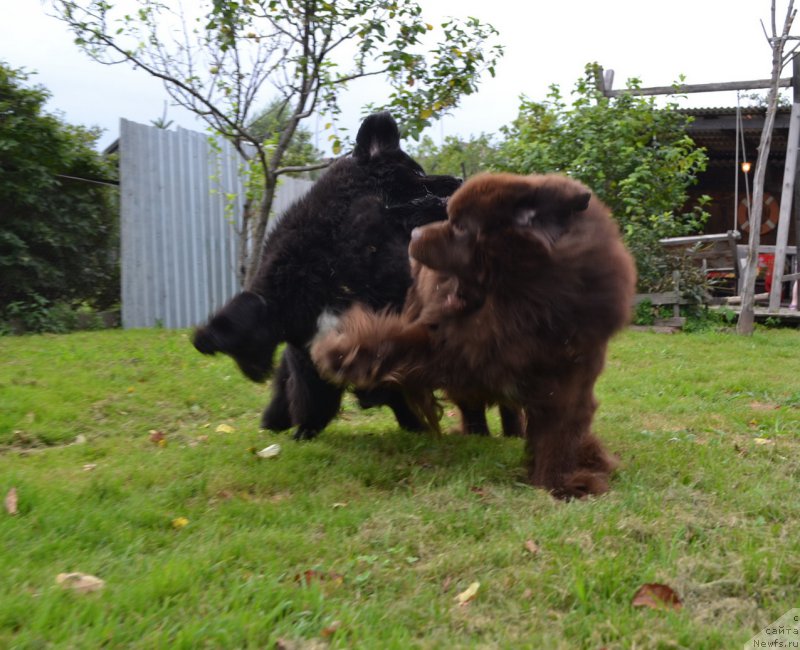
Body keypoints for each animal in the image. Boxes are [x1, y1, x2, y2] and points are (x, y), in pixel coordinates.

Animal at [312, 172, 636, 496]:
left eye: (459, 226)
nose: (415, 234)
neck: (512, 302)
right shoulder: (447, 340)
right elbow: (393, 343)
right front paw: (341, 354)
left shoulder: (568, 375)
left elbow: (559, 433)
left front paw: (559, 483)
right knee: (471, 404)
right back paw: (476, 434)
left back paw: (513, 433)